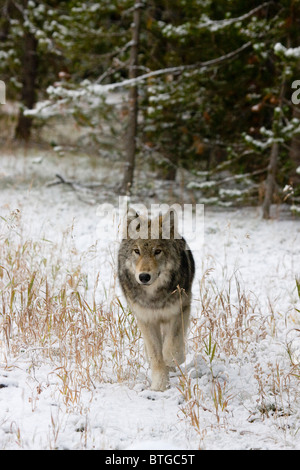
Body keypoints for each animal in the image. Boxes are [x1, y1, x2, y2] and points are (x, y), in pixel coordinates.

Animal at [117, 211, 195, 392]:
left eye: (157, 251)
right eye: (136, 251)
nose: (144, 276)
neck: (154, 297)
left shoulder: (180, 310)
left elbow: (172, 345)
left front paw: (172, 358)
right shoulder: (146, 319)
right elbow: (156, 356)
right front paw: (159, 386)